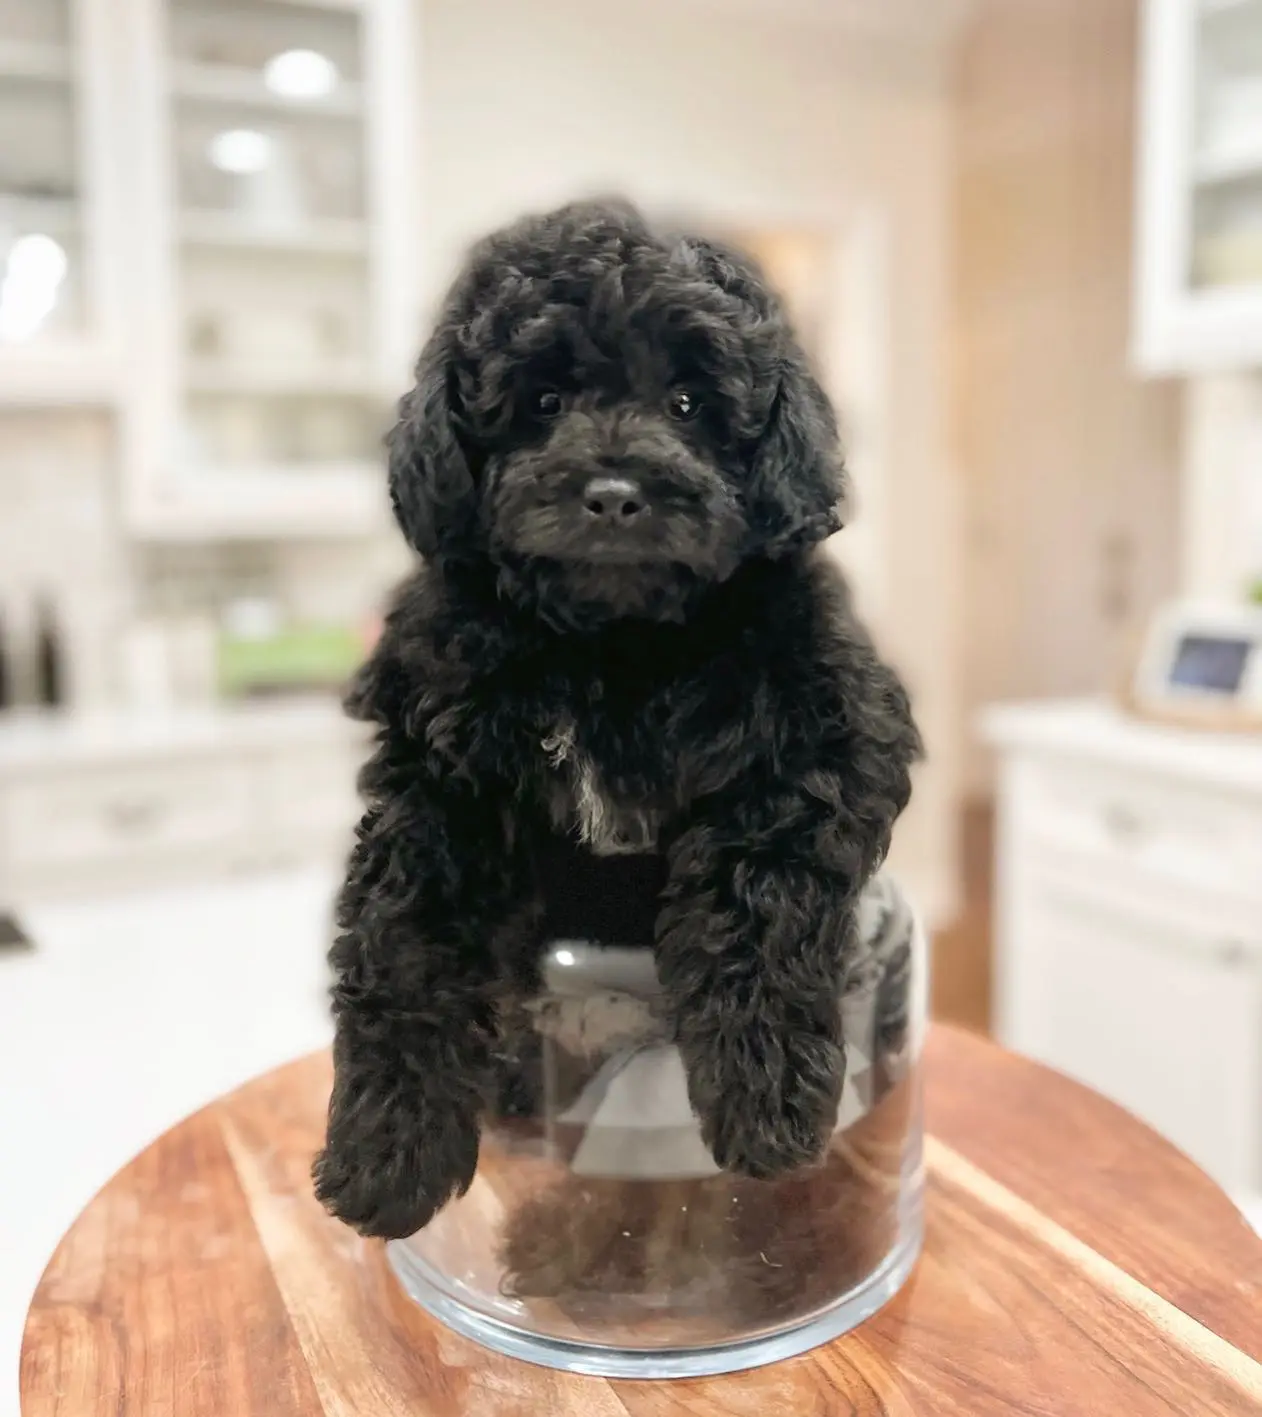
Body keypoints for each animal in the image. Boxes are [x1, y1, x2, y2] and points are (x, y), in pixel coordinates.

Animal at [311, 199, 923, 1241]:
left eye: (687, 403)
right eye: (544, 401)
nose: (613, 493)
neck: (612, 643)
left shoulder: (826, 735)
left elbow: (759, 888)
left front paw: (765, 1097)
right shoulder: (439, 778)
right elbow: (406, 942)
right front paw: (385, 1151)